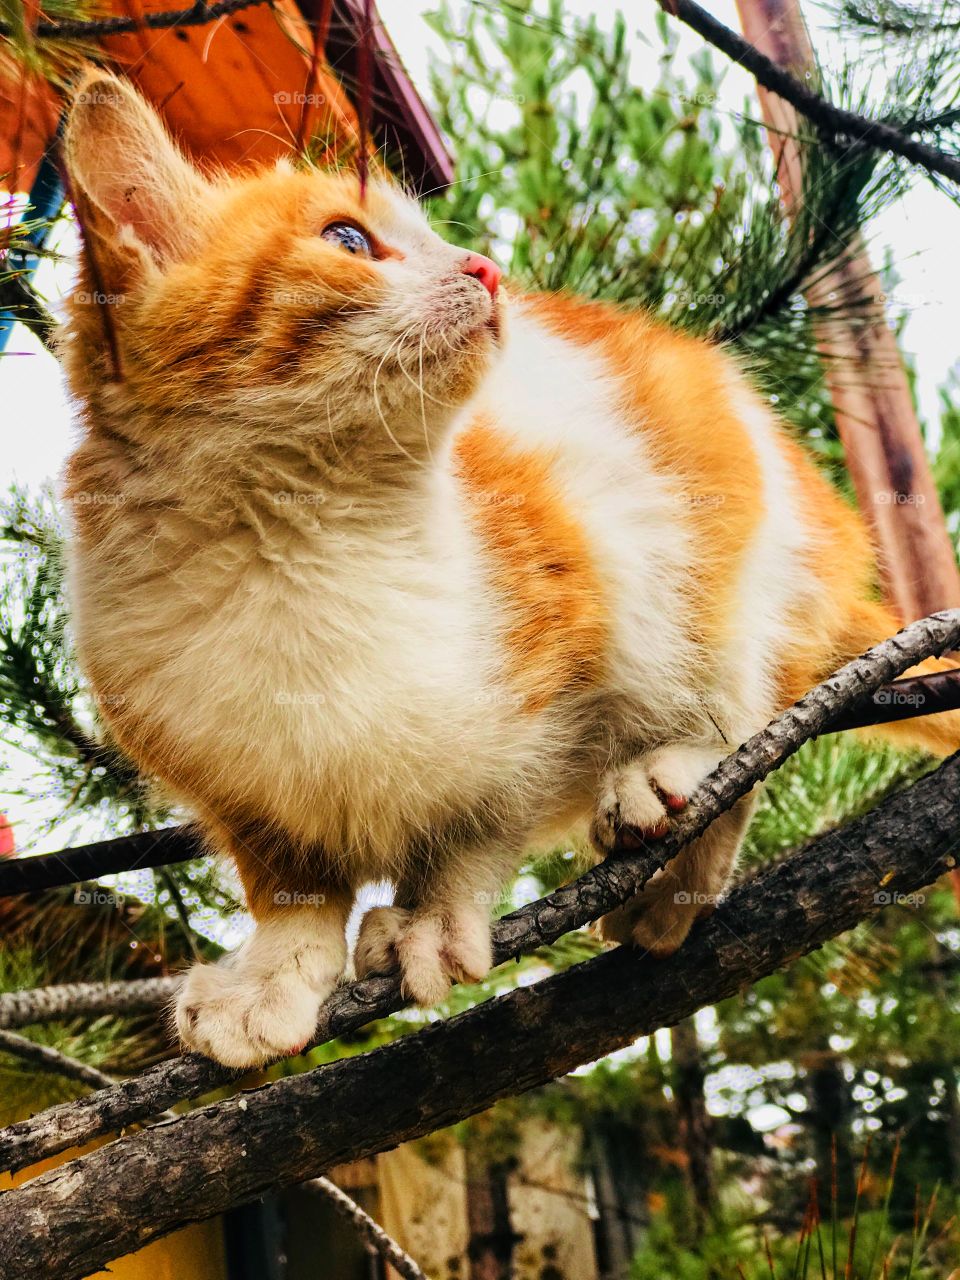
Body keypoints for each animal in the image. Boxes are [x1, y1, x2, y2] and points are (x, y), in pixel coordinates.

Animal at [60, 72, 960, 1070]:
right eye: (347, 239)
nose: (487, 269)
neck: (299, 543)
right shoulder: (220, 770)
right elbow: (290, 882)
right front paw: (274, 974)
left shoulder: (561, 633)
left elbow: (483, 820)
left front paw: (433, 918)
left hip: (729, 552)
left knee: (752, 709)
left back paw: (669, 822)